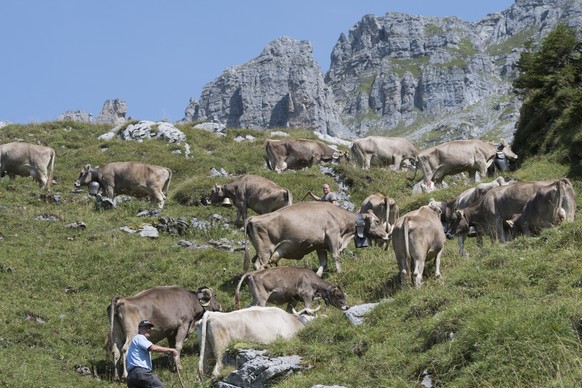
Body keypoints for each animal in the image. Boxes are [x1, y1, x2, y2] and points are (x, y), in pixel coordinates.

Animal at [244, 203, 390, 276]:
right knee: (258, 265)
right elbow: (336, 256)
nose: (386, 235)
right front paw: (339, 272)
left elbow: (323, 263)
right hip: (265, 250)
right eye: (377, 221)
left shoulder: (320, 245)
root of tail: (253, 218)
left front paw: (318, 276)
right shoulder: (333, 236)